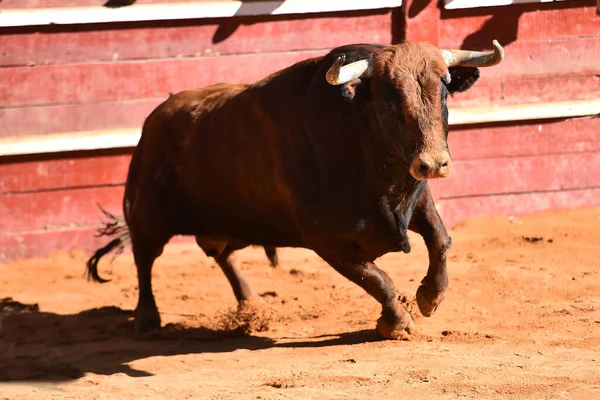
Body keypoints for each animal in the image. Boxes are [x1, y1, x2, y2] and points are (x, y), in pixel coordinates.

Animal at [86, 39, 504, 338]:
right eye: (389, 102)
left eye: (444, 93)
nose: (433, 163)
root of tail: (154, 119)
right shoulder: (328, 241)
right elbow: (377, 279)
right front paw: (396, 323)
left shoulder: (415, 200)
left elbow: (441, 240)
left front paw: (430, 297)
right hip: (147, 215)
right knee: (145, 258)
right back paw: (147, 319)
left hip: (236, 220)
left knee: (220, 253)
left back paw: (252, 304)